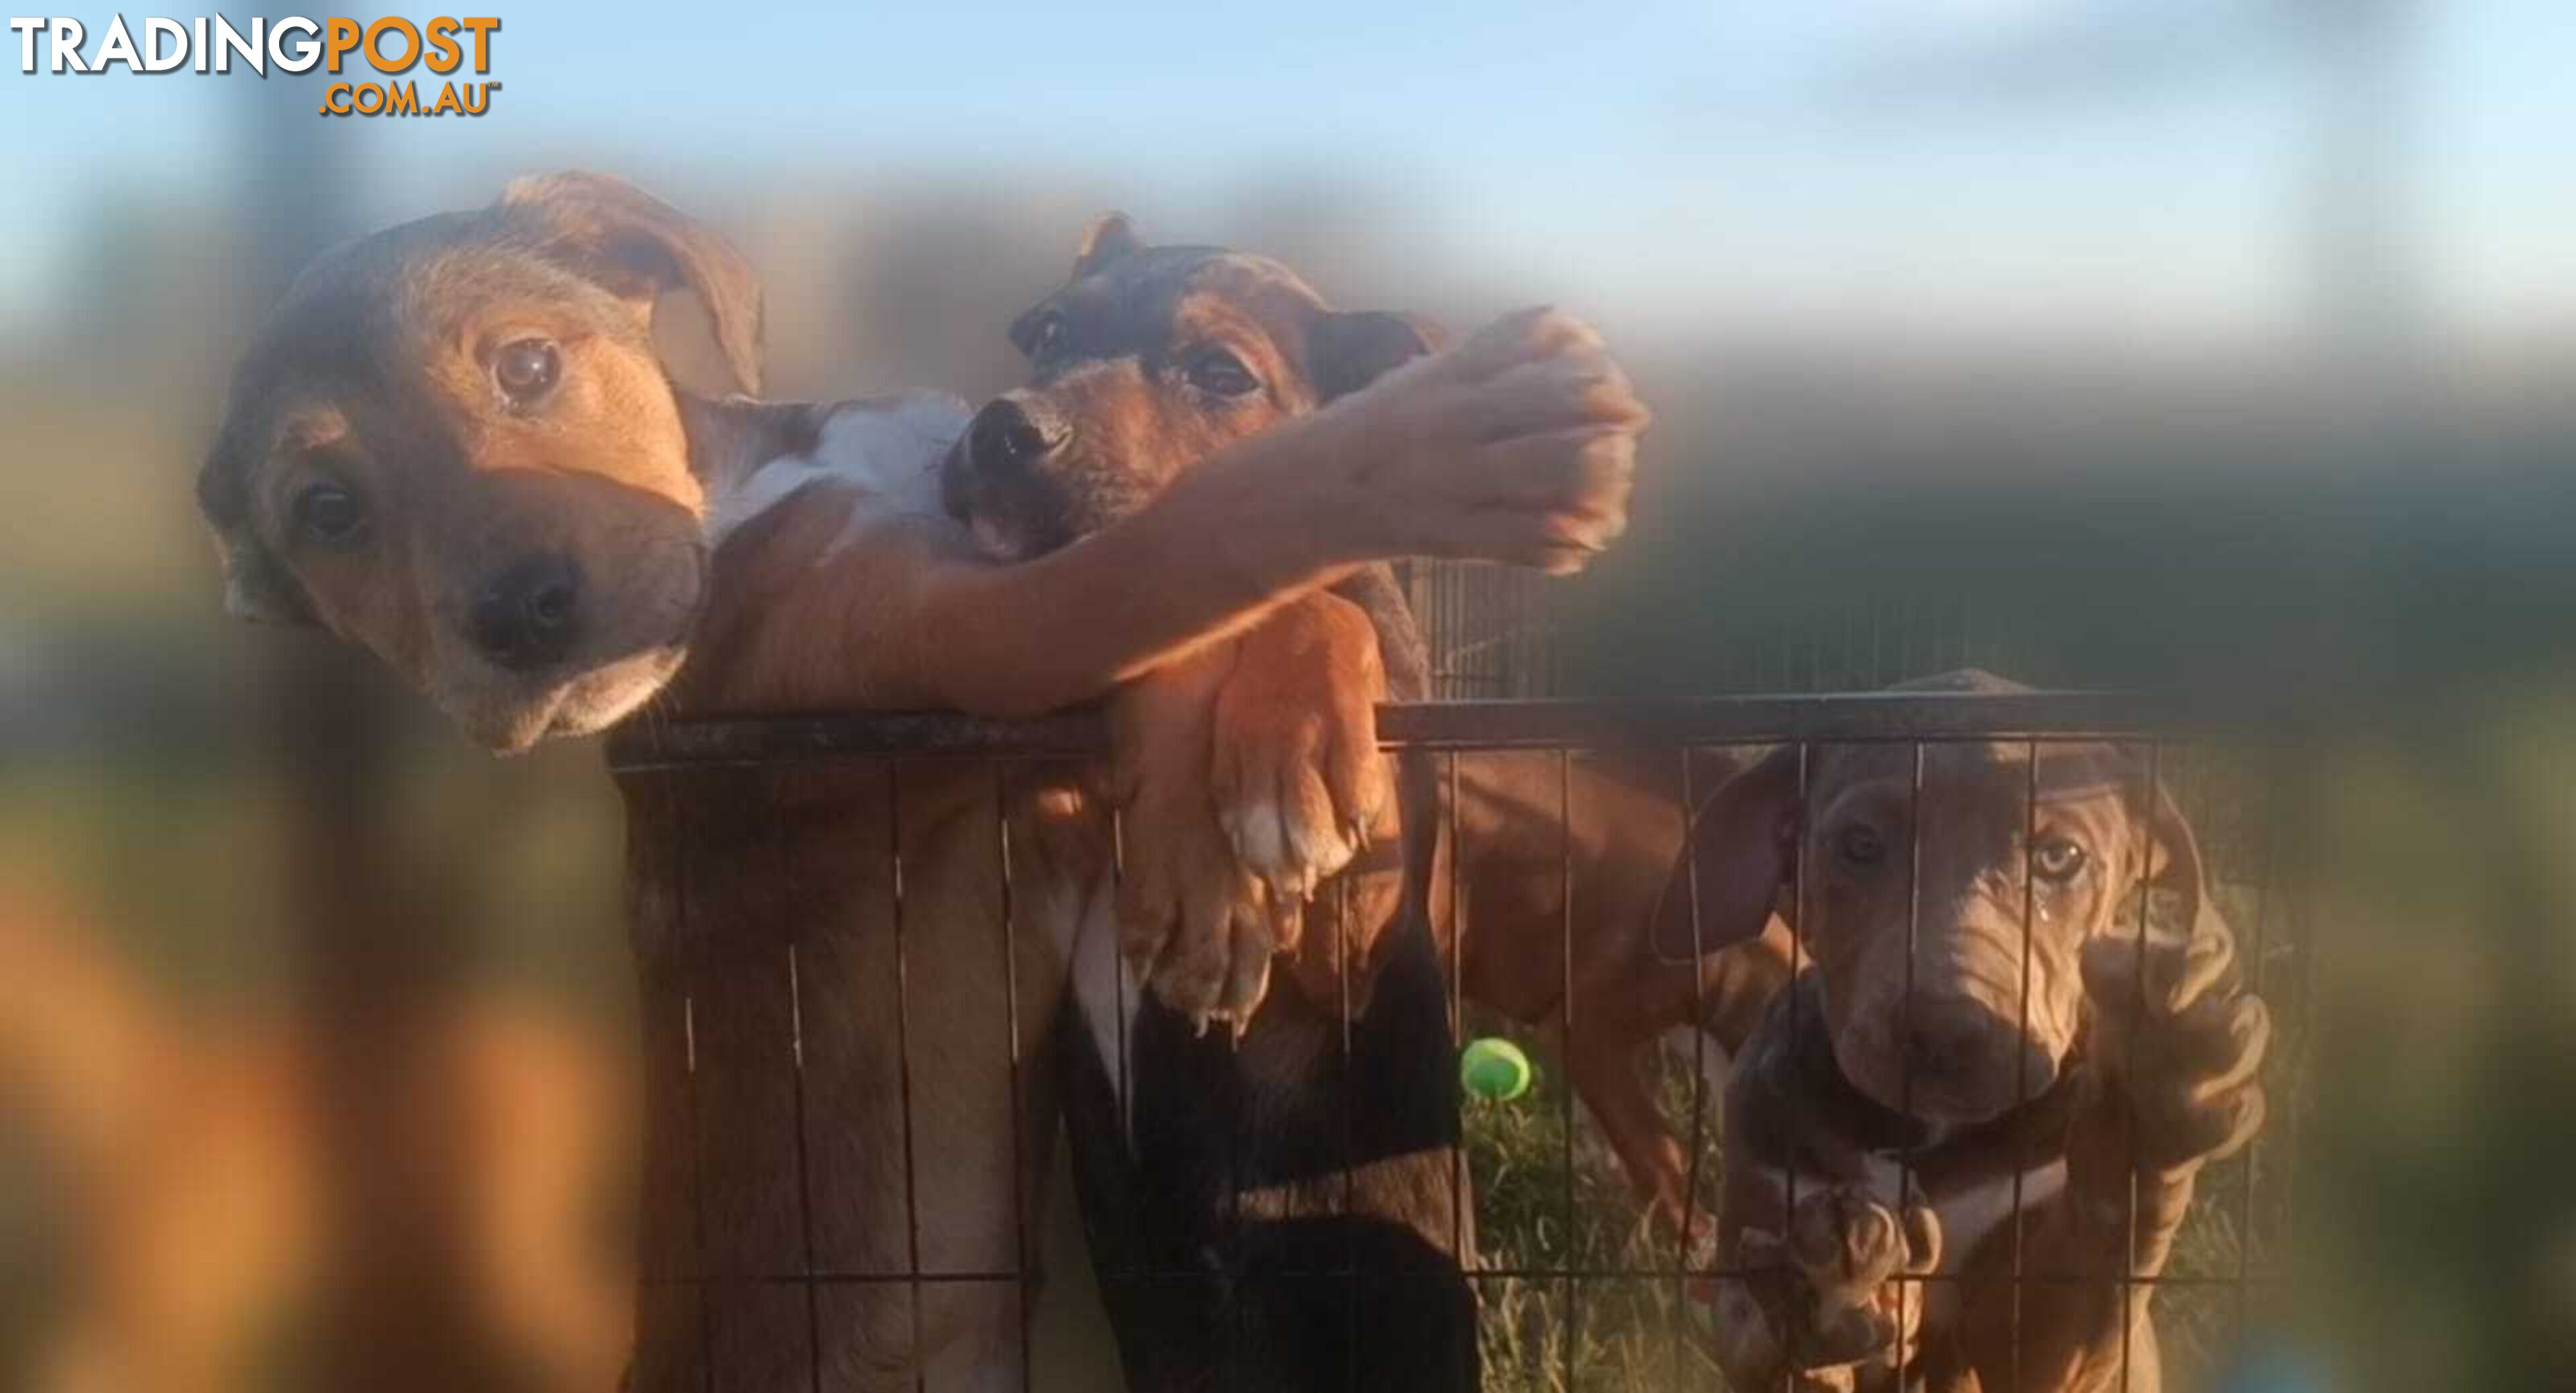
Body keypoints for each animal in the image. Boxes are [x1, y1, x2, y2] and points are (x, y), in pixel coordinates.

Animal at [201, 174, 1648, 1390]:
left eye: (529, 365)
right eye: (328, 511)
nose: (522, 618)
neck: (758, 468)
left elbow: (1260, 575)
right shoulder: (965, 640)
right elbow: (1221, 543)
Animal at [937, 217, 1803, 1251]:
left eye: (1222, 374)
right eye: (1051, 334)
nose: (1003, 432)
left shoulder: (1360, 950)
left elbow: (1301, 588)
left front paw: (1281, 773)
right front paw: (1203, 878)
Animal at [1690, 669, 2277, 1390]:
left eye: (2060, 857)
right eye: (1860, 845)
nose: (1943, 1028)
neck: (1927, 1140)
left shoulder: (2042, 1335)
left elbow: (2098, 1260)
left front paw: (2146, 1103)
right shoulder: (1764, 1180)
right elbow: (1759, 1337)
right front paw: (1830, 1294)